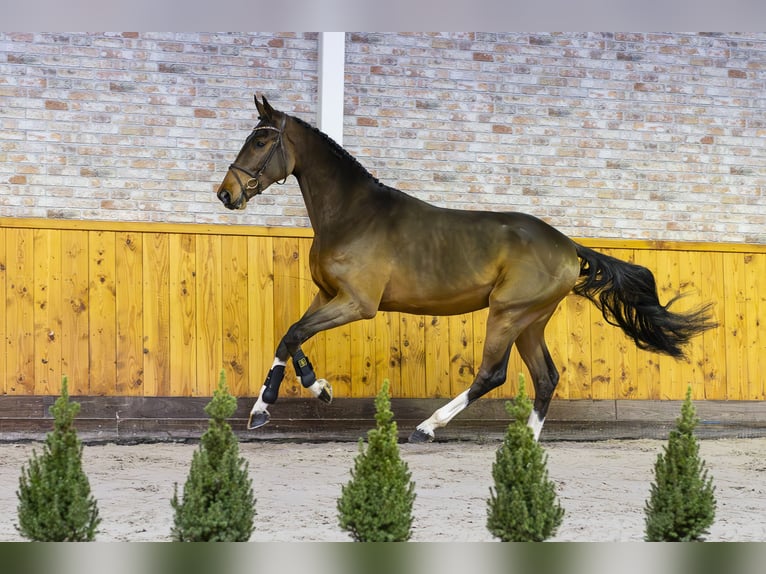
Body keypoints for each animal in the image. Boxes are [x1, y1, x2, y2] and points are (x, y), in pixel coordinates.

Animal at [218, 97, 720, 444]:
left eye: (260, 140)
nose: (226, 193)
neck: (351, 214)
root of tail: (568, 246)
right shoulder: (328, 296)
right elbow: (292, 336)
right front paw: (305, 392)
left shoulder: (357, 304)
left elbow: (292, 334)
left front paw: (272, 405)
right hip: (531, 321)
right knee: (546, 378)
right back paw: (525, 444)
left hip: (508, 313)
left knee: (492, 374)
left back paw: (427, 427)